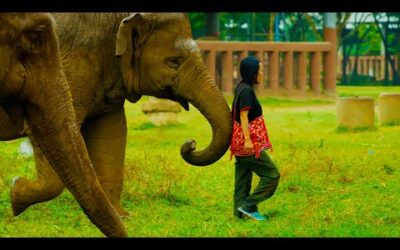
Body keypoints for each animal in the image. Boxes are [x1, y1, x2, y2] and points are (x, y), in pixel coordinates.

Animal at [10, 13, 231, 220]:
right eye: (173, 62)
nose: (191, 143)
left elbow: (111, 133)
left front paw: (121, 216)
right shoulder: (71, 64)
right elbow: (52, 129)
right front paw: (16, 194)